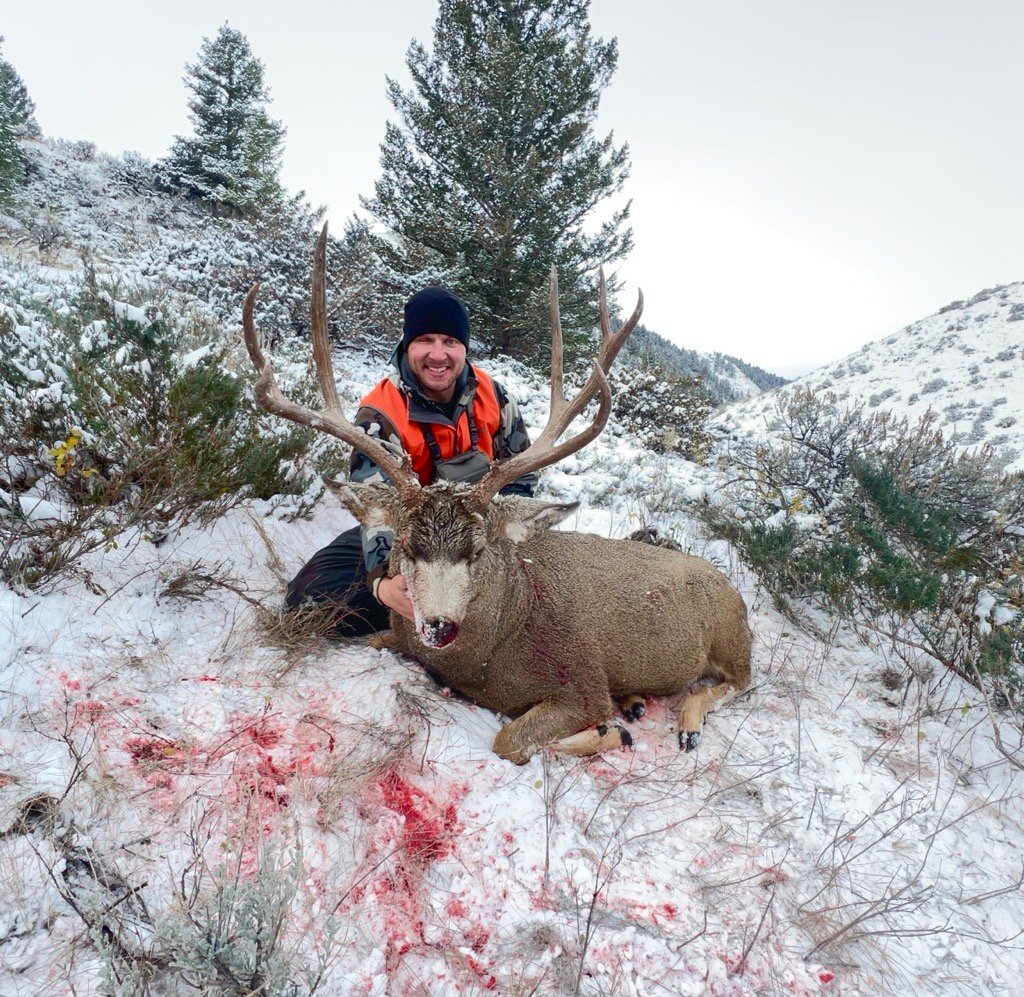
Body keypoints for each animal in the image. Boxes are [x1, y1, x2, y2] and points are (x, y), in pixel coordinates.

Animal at [242, 226, 752, 765]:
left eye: (479, 550)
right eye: (406, 546)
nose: (438, 625)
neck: (488, 656)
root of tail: (733, 590)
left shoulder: (585, 680)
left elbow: (510, 742)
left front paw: (611, 732)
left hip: (730, 639)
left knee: (738, 682)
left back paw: (683, 722)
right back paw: (636, 702)